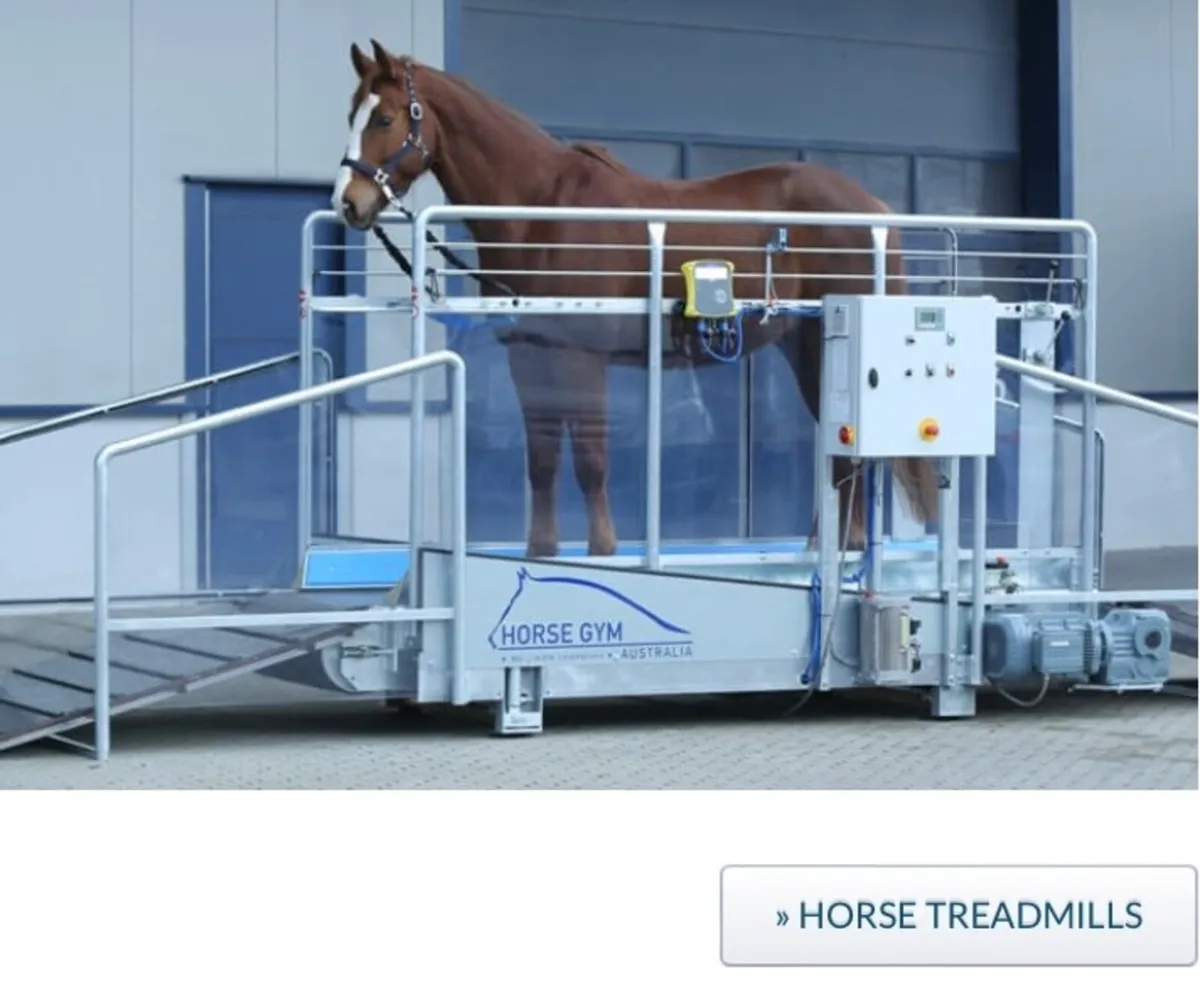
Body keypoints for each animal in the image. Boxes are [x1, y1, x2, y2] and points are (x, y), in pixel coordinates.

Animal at [331, 39, 940, 559]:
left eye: (385, 118)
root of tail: (871, 206)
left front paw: (602, 551)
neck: (543, 212)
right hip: (805, 345)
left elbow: (590, 460)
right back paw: (831, 547)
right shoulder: (530, 355)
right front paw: (541, 552)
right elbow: (542, 460)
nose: (348, 202)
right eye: (352, 114)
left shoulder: (582, 359)